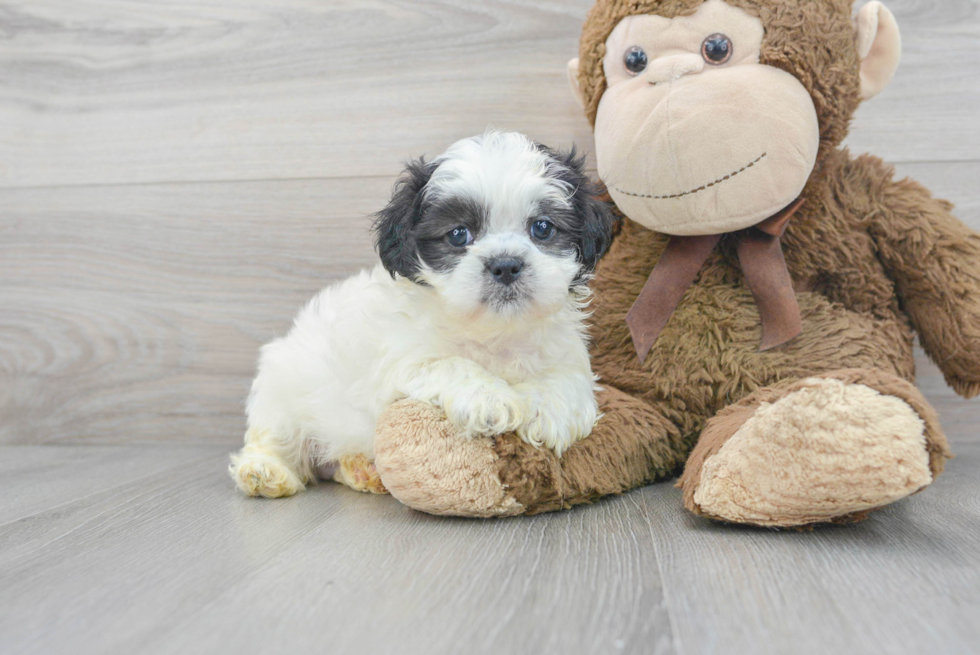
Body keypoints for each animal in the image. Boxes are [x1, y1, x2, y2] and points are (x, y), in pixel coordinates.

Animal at [230, 129, 612, 498]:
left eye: (543, 228)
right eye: (458, 234)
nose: (505, 264)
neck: (492, 332)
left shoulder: (566, 352)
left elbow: (567, 378)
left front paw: (547, 410)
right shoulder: (400, 362)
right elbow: (449, 363)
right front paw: (491, 398)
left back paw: (361, 471)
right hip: (282, 392)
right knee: (276, 439)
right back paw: (265, 472)